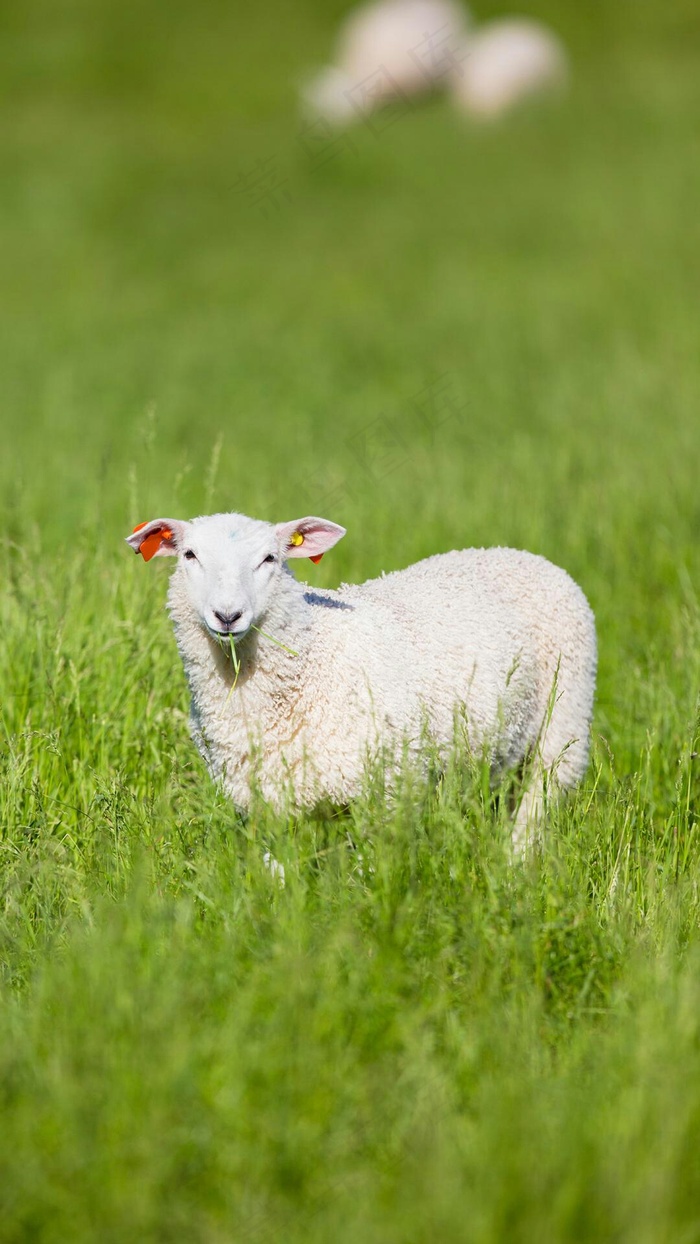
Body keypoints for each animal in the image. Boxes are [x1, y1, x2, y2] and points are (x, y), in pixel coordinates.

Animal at [126, 510, 596, 850]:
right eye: (189, 556)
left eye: (270, 559)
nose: (227, 615)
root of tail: (517, 553)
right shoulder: (266, 802)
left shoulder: (387, 788)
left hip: (563, 728)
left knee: (535, 812)